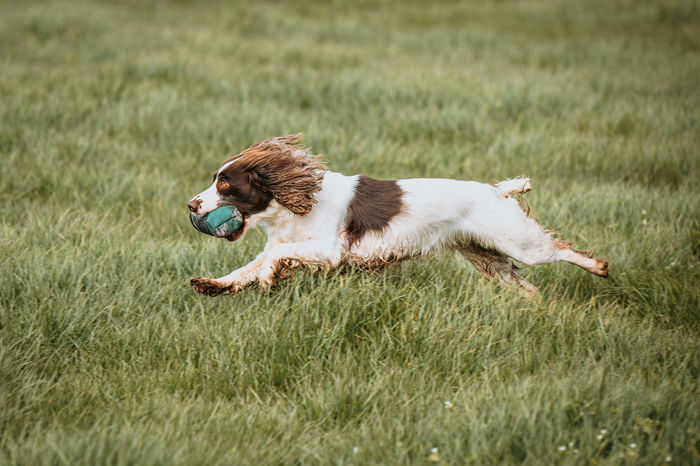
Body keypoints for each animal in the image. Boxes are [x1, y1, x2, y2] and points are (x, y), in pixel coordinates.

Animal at [186, 133, 608, 296]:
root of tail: (495, 190)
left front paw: (270, 278)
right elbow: (247, 268)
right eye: (216, 179)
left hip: (517, 242)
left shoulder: (329, 251)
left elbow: (273, 258)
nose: (191, 204)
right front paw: (213, 284)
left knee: (558, 251)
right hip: (486, 256)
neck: (293, 205)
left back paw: (600, 267)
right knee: (528, 287)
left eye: (225, 185)